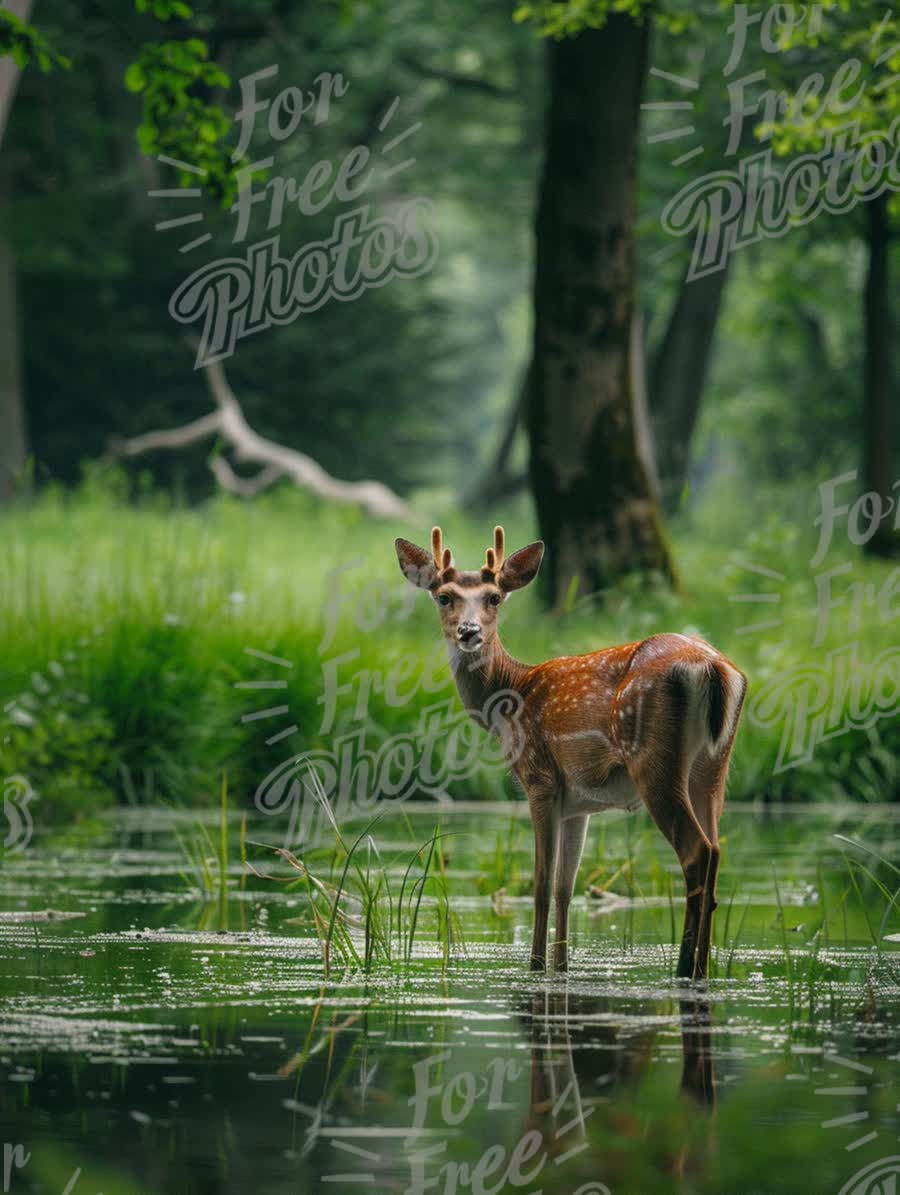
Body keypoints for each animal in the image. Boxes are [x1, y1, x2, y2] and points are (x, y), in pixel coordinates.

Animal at [392, 530, 745, 979]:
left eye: (494, 597)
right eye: (444, 596)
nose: (468, 632)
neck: (511, 694)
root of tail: (714, 668)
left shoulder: (540, 779)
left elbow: (542, 883)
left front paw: (535, 966)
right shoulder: (578, 803)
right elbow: (565, 886)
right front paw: (561, 966)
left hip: (654, 761)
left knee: (697, 852)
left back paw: (684, 969)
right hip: (714, 767)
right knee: (716, 851)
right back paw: (702, 969)